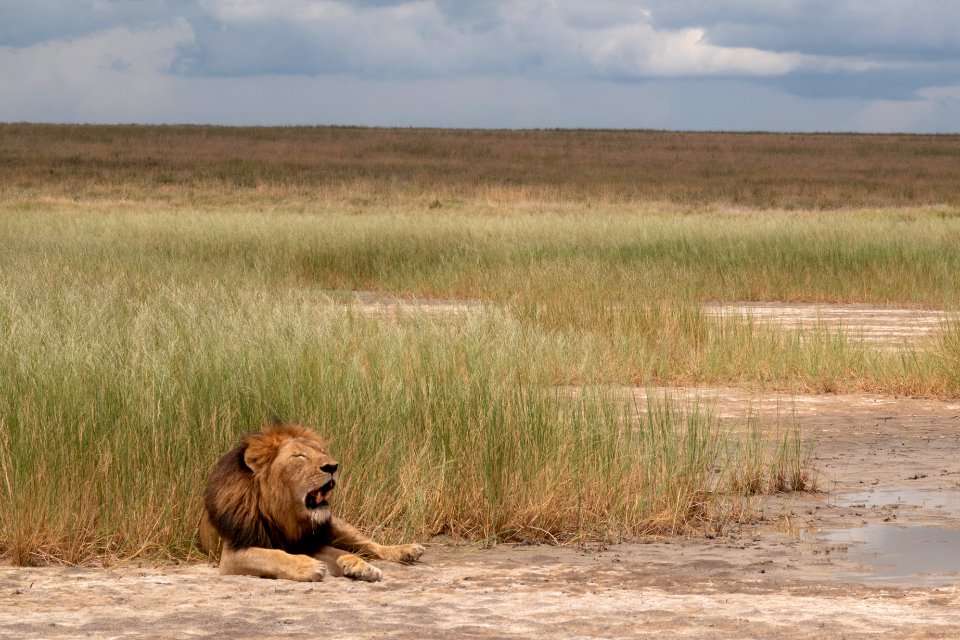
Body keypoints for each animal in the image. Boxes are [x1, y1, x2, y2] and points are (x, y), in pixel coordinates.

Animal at [199, 422, 424, 584]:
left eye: (321, 452)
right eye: (300, 456)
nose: (333, 466)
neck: (283, 515)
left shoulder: (309, 542)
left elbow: (338, 552)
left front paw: (359, 565)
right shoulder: (233, 553)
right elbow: (273, 555)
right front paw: (309, 567)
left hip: (337, 526)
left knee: (369, 545)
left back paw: (402, 552)